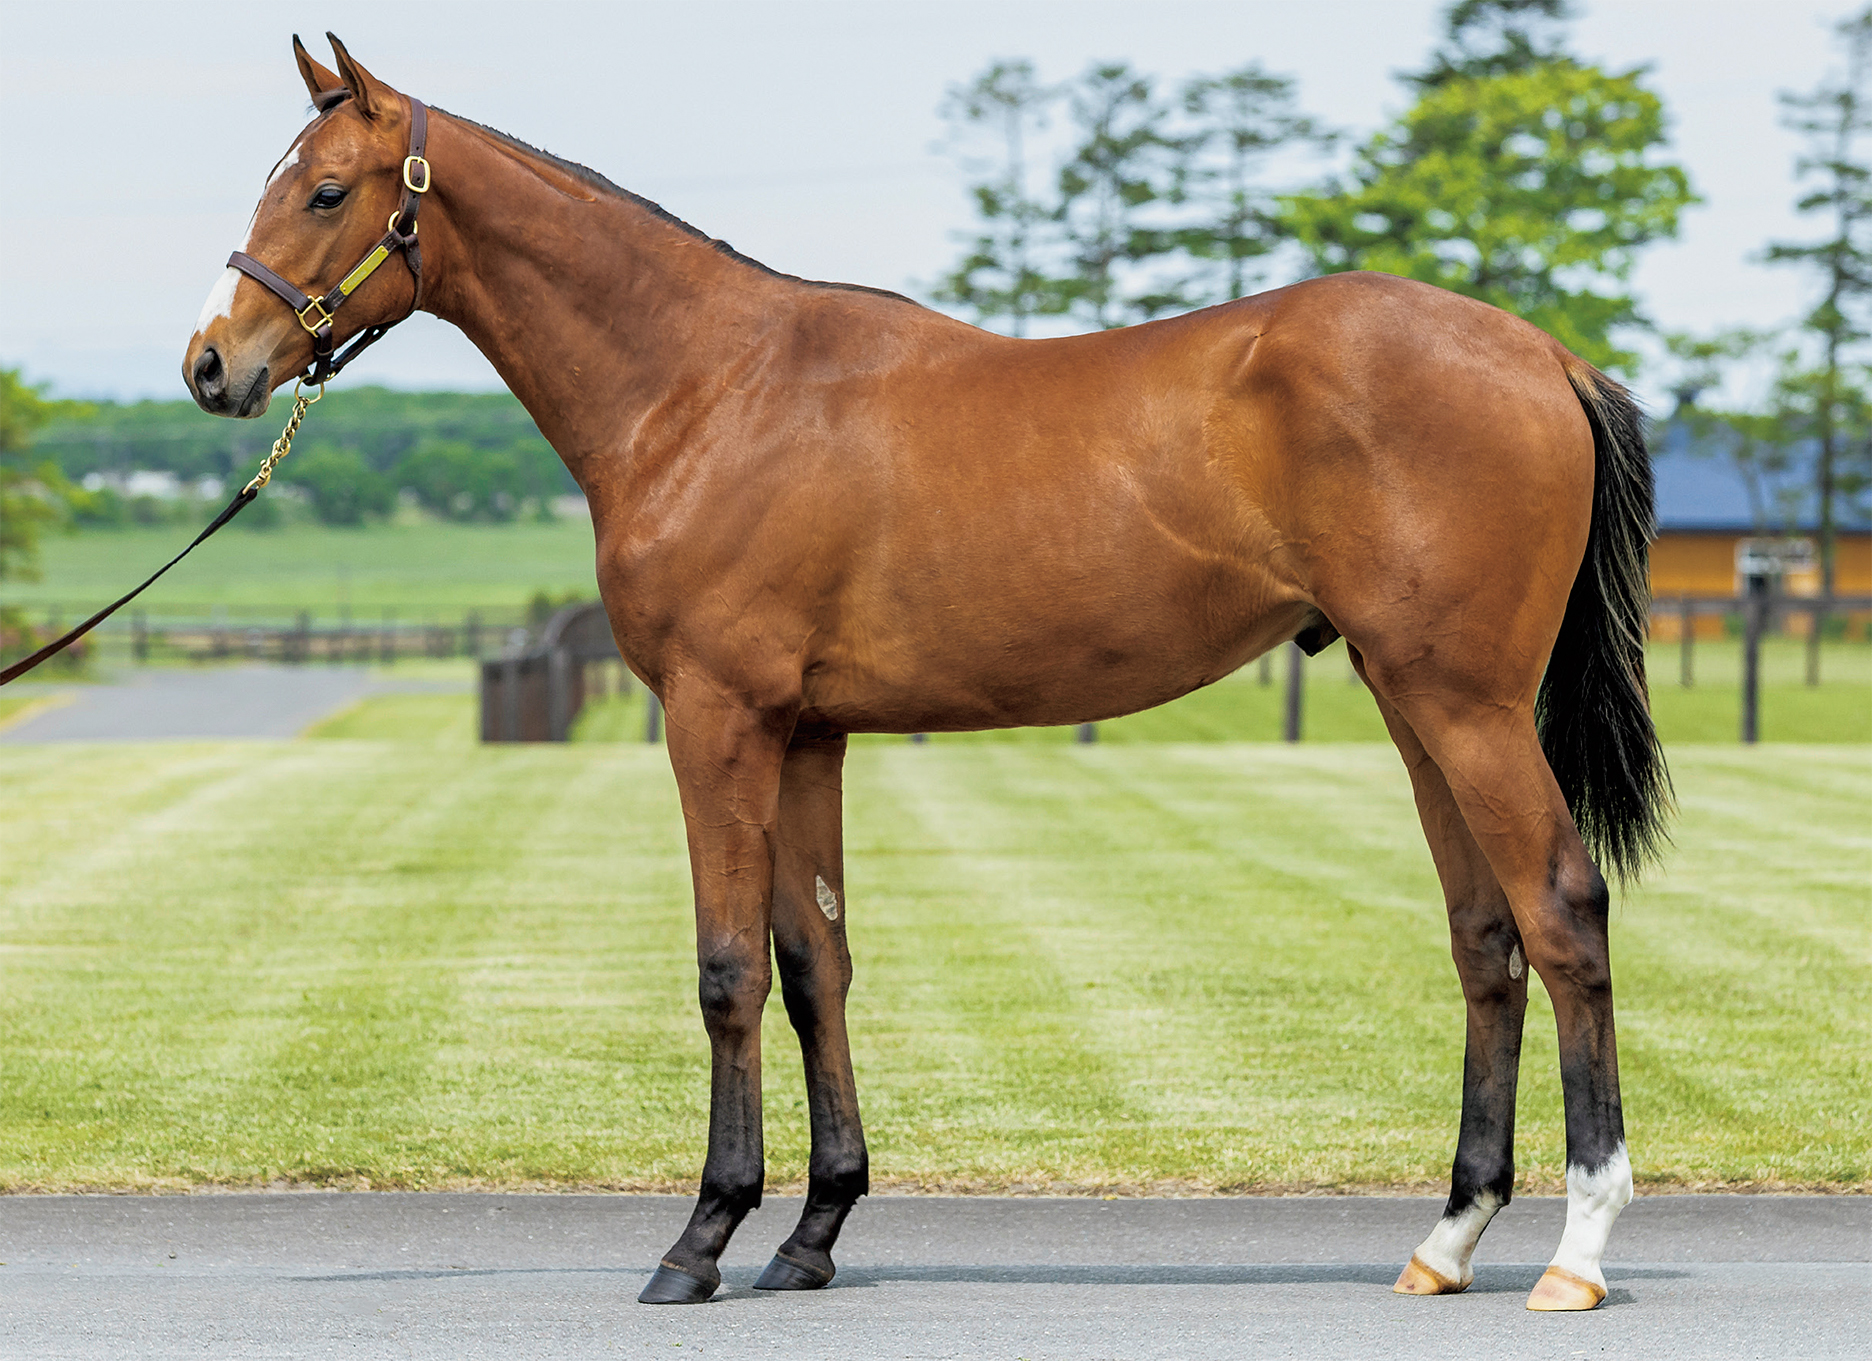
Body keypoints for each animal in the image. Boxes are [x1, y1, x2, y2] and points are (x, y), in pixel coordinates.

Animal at [178, 37, 1669, 1317]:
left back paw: (1579, 1250)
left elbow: (728, 969)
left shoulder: (717, 719)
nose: (212, 363)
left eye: (325, 189)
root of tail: (1541, 350)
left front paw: (701, 1237)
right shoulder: (804, 734)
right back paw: (1448, 1239)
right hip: (1413, 702)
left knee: (1562, 910)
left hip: (1468, 706)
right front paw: (814, 1229)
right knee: (1484, 940)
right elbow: (813, 962)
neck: (707, 389)